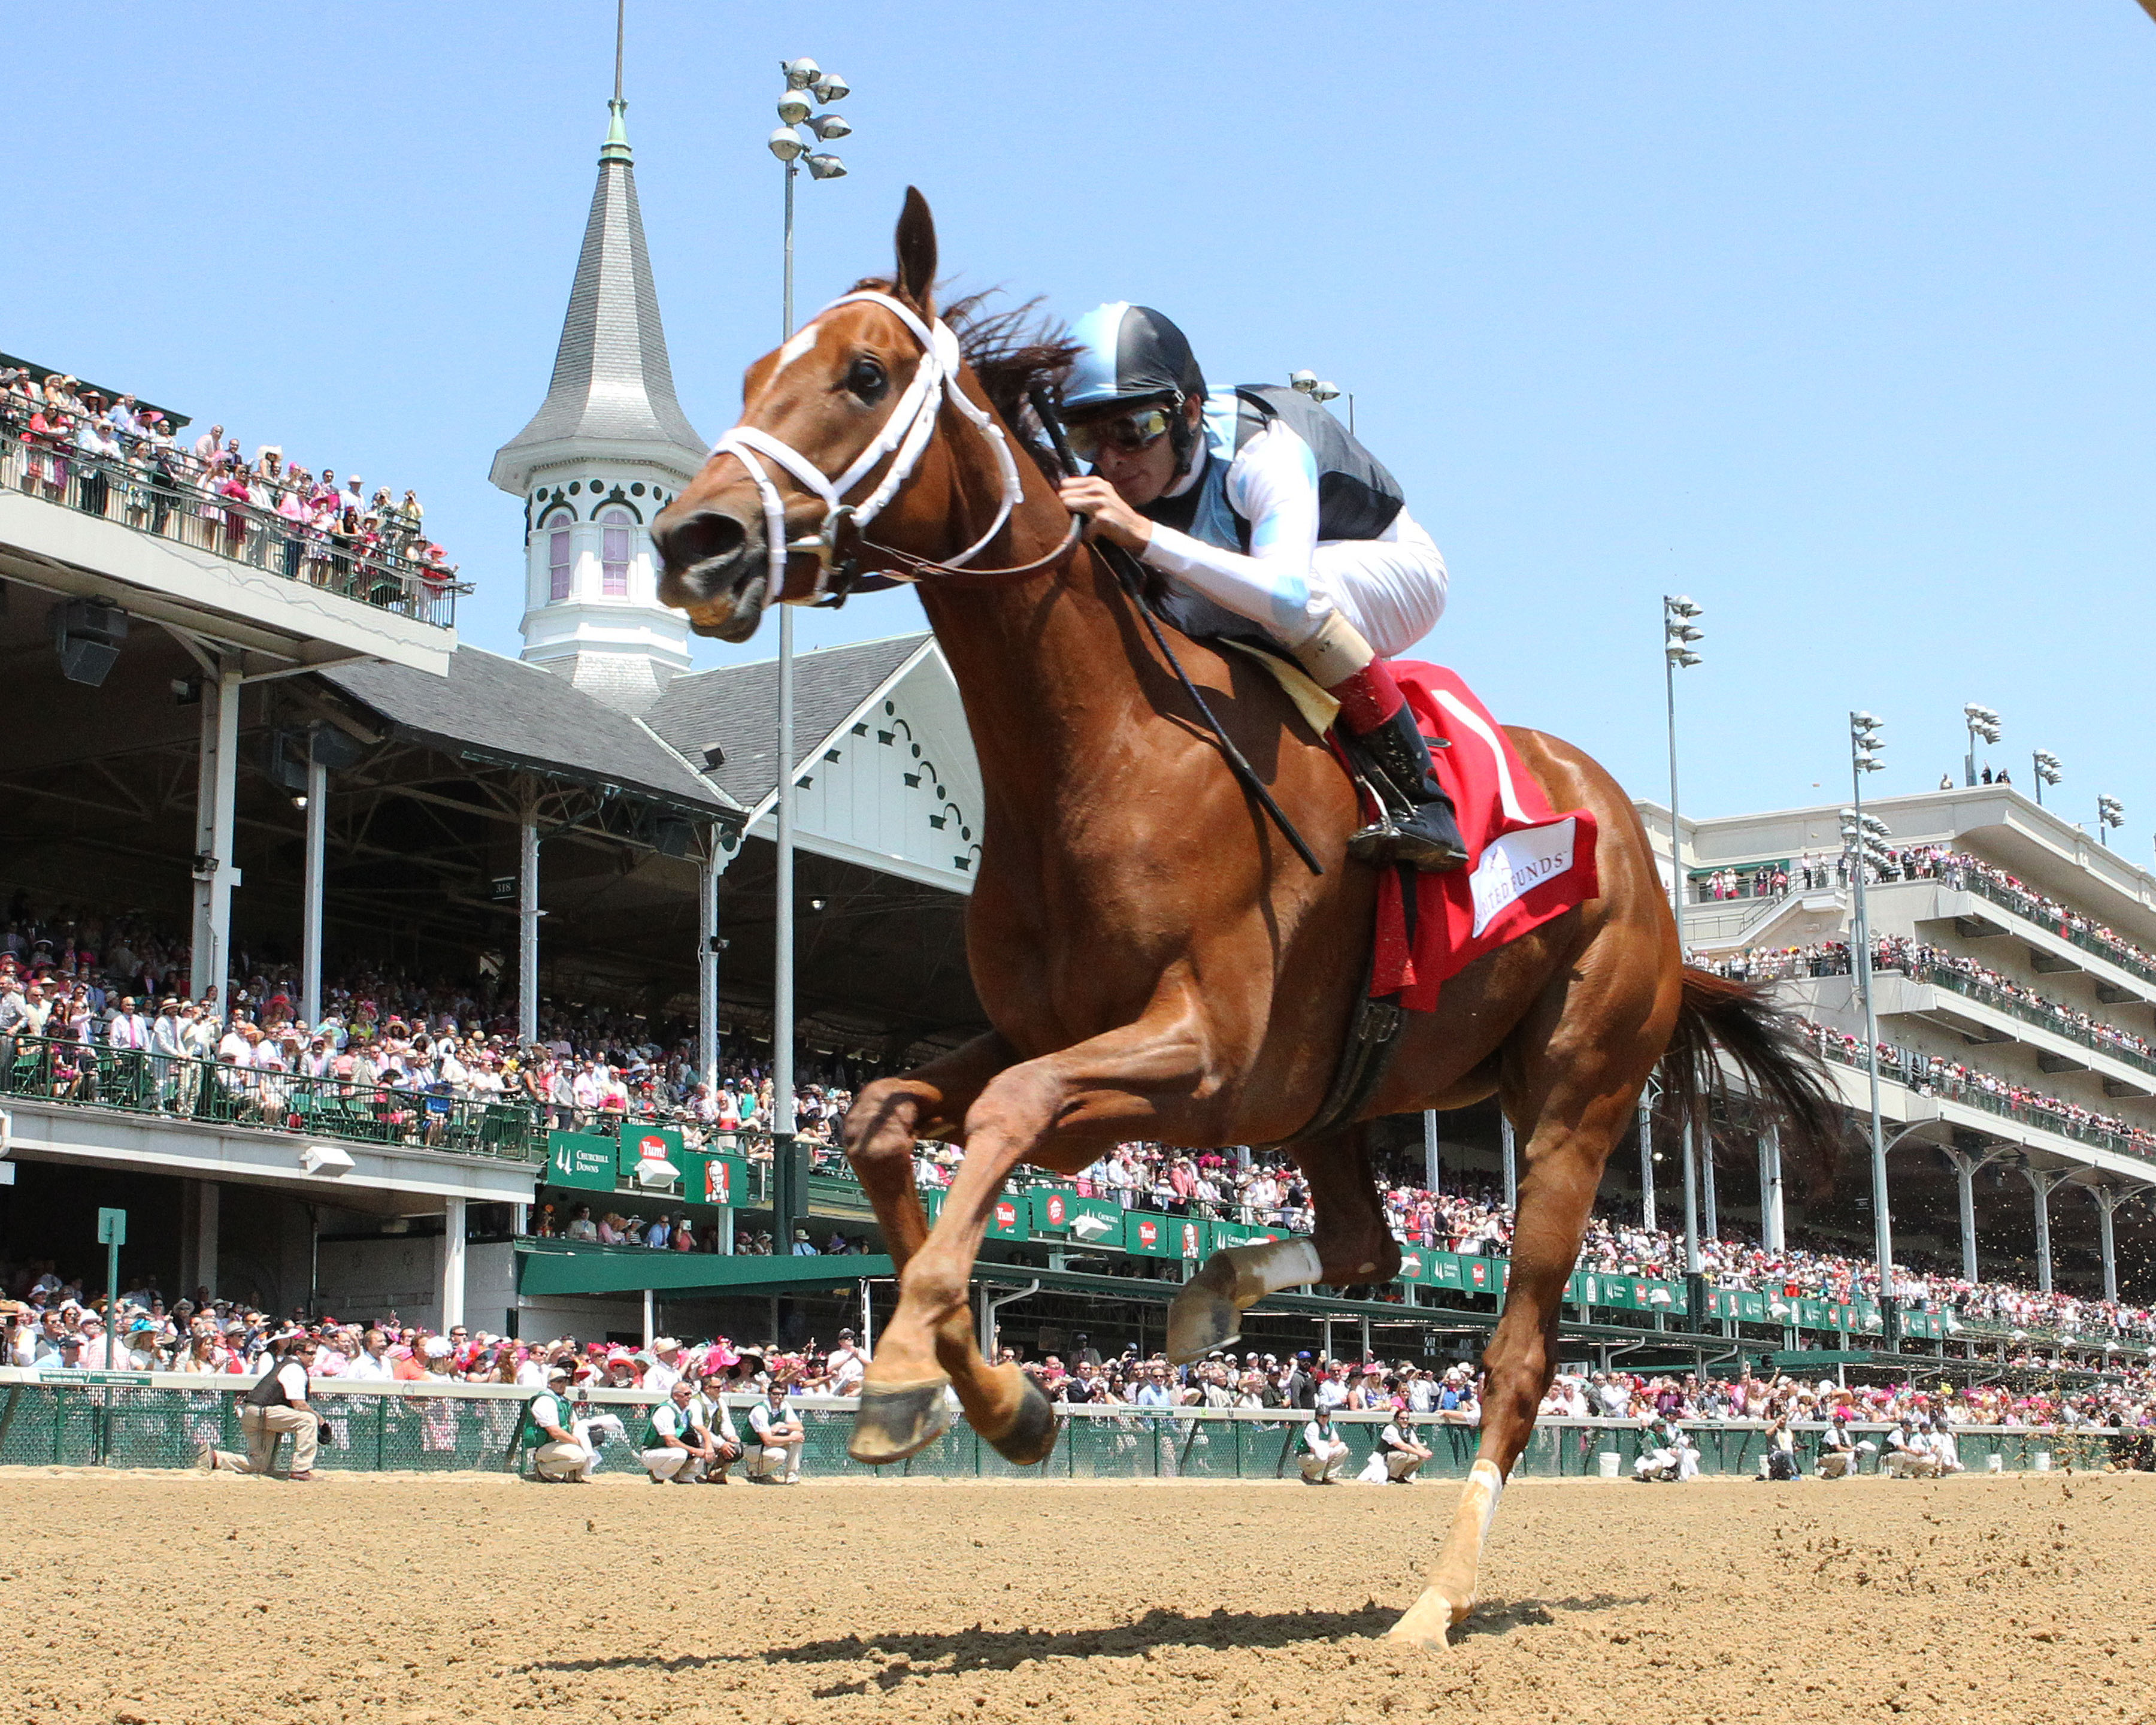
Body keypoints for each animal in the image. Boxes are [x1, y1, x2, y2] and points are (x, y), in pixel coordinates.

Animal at [655, 195, 1837, 1647]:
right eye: (754, 373)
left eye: (866, 375)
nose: (694, 540)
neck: (1101, 755)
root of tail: (1635, 851)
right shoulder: (1052, 1034)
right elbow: (881, 1116)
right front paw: (1004, 1398)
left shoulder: (1204, 1053)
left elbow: (1012, 1120)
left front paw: (902, 1376)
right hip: (1335, 1097)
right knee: (1371, 1245)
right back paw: (1209, 1299)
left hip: (1574, 1094)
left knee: (1515, 1355)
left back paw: (1436, 1600)